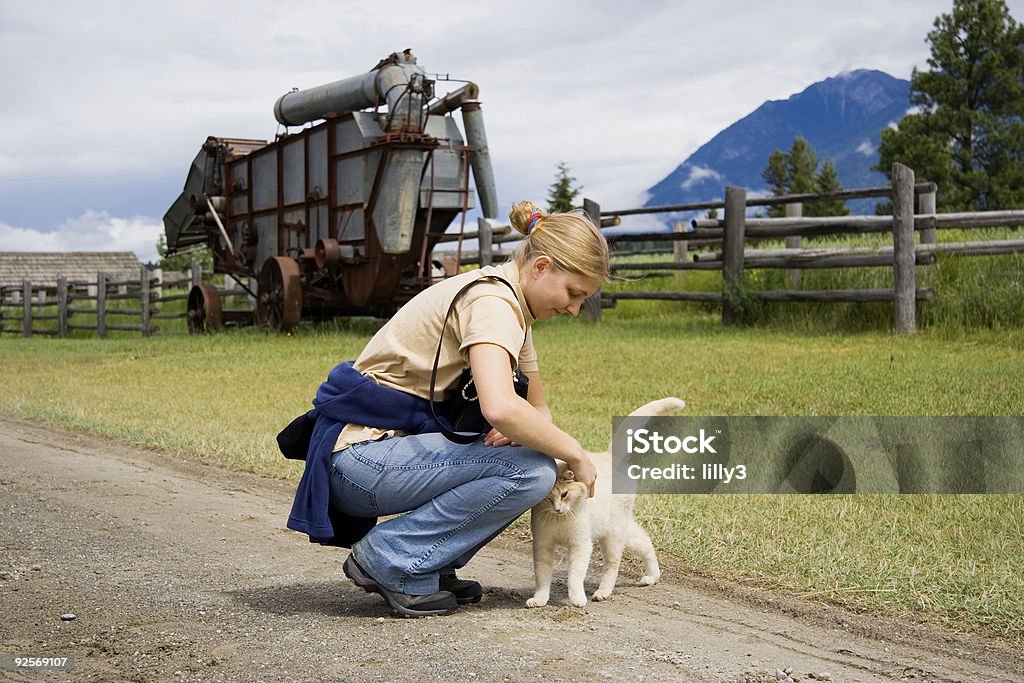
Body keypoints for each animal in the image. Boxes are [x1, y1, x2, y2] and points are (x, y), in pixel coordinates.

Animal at [528, 395, 688, 610]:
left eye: (564, 494)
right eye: (548, 498)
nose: (558, 509)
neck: (560, 520)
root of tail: (610, 456)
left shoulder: (581, 545)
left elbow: (574, 576)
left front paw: (577, 598)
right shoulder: (542, 545)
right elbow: (542, 576)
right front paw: (540, 599)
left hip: (613, 536)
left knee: (613, 565)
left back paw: (602, 593)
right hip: (622, 530)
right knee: (645, 541)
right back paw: (652, 577)